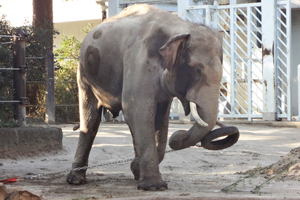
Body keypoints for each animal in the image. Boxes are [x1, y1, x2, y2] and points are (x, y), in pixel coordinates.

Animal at [67, 4, 239, 191]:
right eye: (197, 71)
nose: (179, 134)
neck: (181, 27)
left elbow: (158, 119)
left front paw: (137, 168)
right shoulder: (139, 61)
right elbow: (137, 112)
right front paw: (154, 186)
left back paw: (135, 175)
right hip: (84, 74)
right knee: (90, 121)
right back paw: (75, 180)